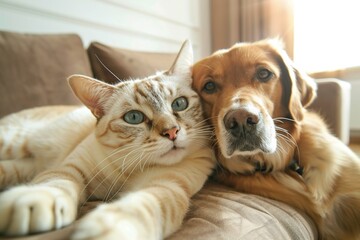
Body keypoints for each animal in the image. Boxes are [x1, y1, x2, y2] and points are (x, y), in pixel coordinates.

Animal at [0, 40, 214, 239]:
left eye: (179, 104)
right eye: (134, 117)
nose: (171, 132)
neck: (130, 168)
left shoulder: (168, 185)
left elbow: (142, 206)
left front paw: (111, 229)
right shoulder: (72, 168)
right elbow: (56, 182)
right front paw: (33, 201)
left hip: (25, 166)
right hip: (13, 143)